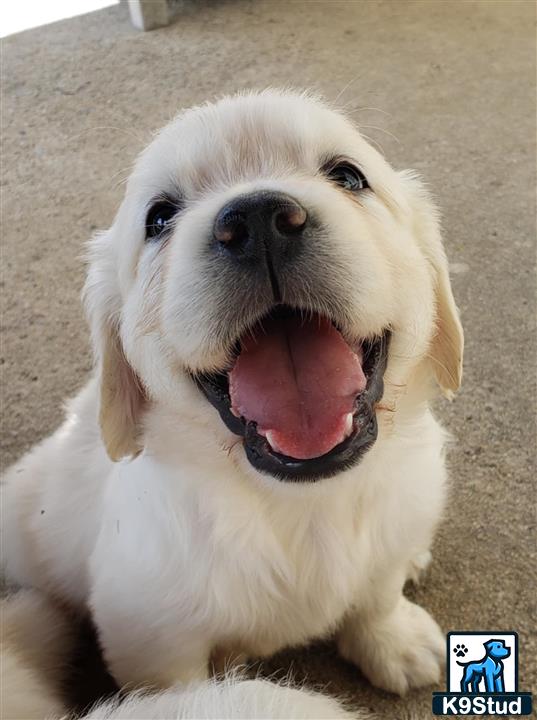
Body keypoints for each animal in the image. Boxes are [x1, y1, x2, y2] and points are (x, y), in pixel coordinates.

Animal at [1, 88, 460, 696]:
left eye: (348, 175)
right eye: (159, 218)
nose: (258, 218)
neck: (304, 501)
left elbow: (377, 591)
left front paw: (394, 640)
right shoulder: (151, 636)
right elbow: (181, 691)